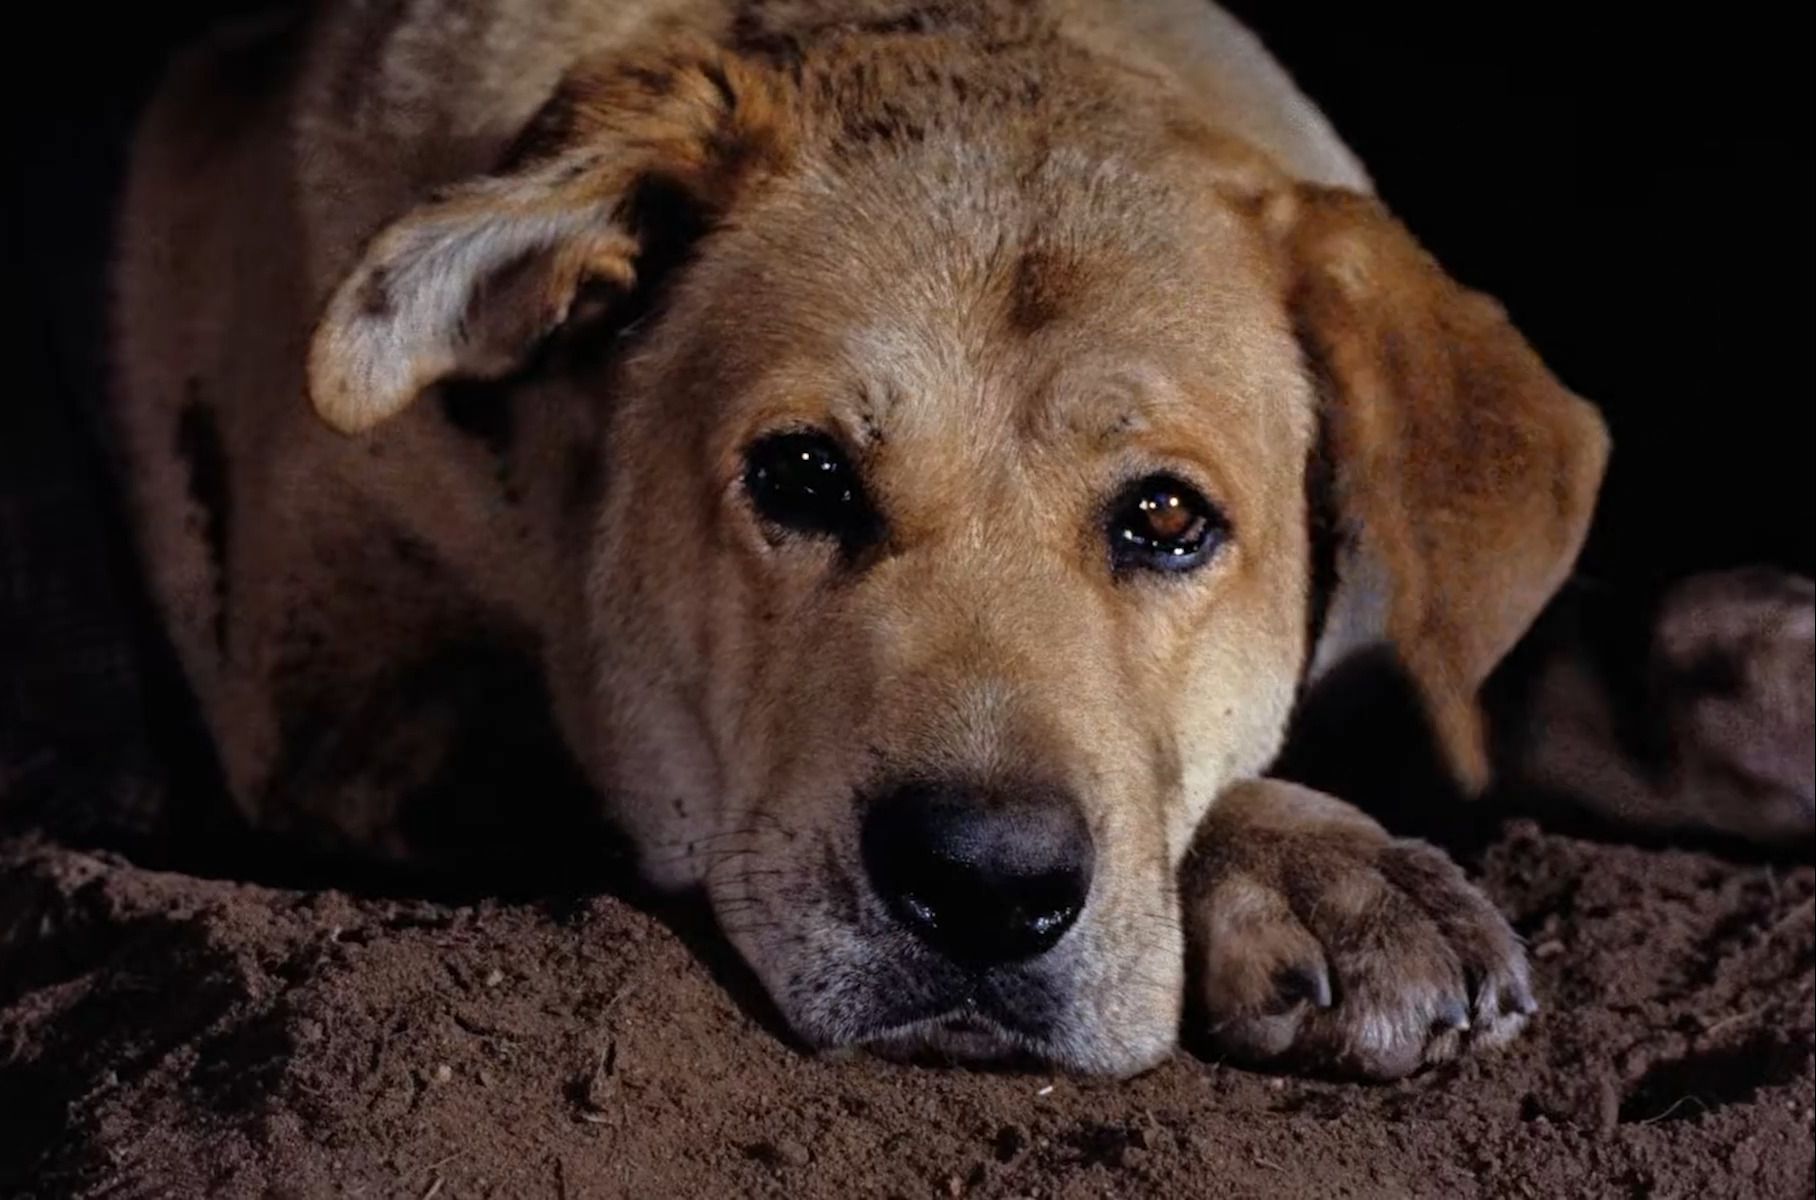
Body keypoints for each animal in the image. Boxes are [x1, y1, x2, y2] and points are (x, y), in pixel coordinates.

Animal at [109, 0, 1634, 1081]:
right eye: (802, 474)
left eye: (1166, 516)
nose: (984, 887)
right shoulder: (349, 715)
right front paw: (1319, 869)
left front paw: (1329, 864)